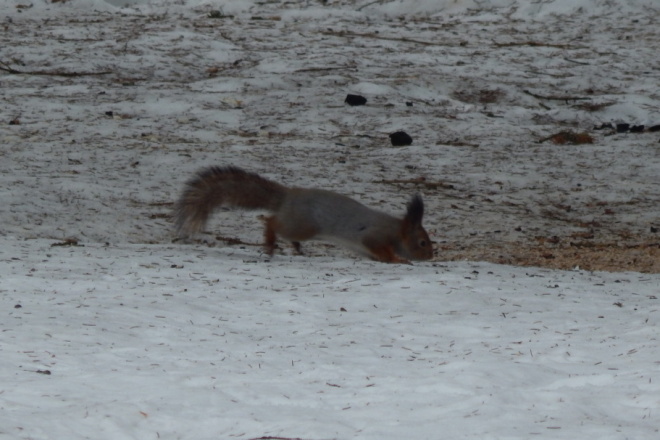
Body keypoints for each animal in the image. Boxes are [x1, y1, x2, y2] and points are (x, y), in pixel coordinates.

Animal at [175, 165, 434, 262]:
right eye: (422, 242)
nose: (431, 256)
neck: (397, 232)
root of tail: (288, 196)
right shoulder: (374, 236)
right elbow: (381, 251)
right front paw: (398, 259)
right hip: (303, 225)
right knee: (272, 222)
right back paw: (271, 242)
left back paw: (297, 249)